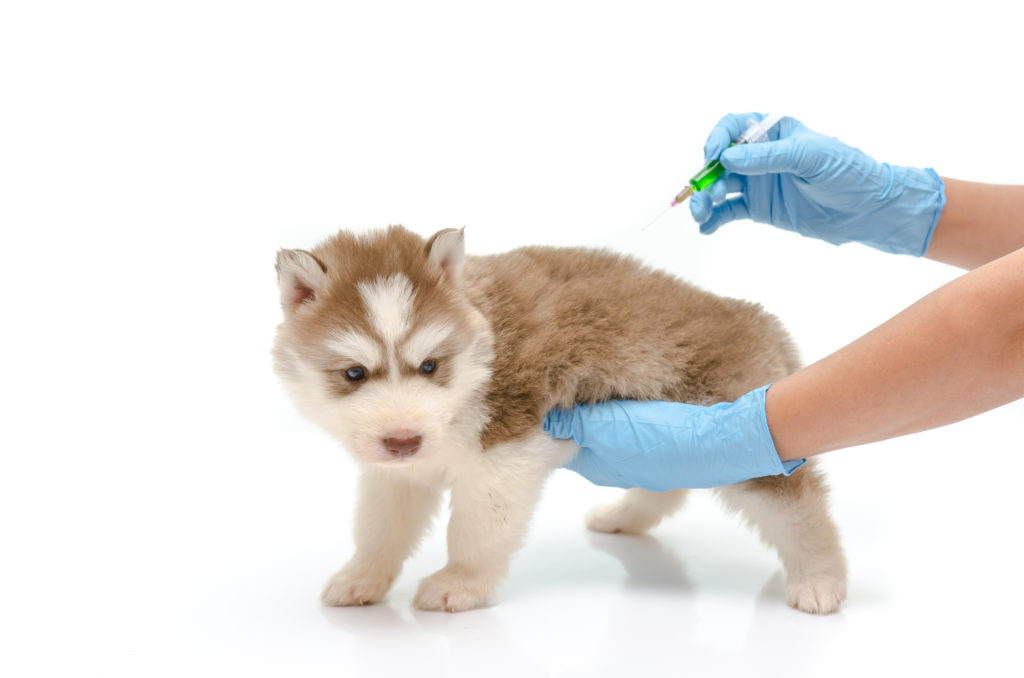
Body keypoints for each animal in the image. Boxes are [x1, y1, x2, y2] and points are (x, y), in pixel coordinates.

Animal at [272, 227, 847, 614]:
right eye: (354, 372)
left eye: (430, 365)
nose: (403, 440)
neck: (480, 358)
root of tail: (760, 321)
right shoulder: (397, 475)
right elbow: (380, 528)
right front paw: (363, 576)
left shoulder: (505, 453)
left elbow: (475, 530)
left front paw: (461, 582)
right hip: (679, 438)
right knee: (669, 483)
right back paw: (624, 516)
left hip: (746, 440)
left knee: (800, 507)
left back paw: (821, 576)